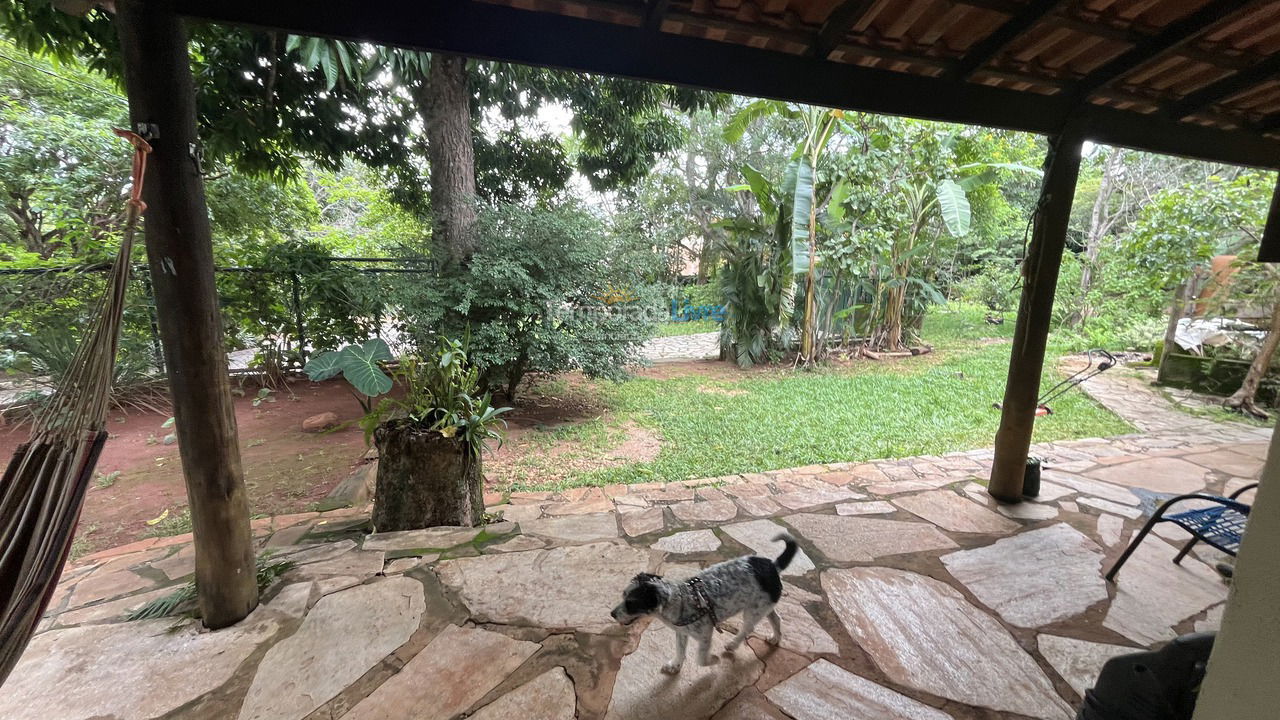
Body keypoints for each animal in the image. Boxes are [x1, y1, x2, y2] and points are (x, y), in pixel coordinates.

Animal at [611, 530, 798, 671]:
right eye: (623, 596)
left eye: (631, 603)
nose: (612, 614)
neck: (682, 601)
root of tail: (773, 566)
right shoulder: (681, 633)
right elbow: (680, 651)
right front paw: (675, 666)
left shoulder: (705, 635)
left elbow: (700, 659)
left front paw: (713, 659)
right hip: (764, 605)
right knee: (776, 619)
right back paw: (775, 638)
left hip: (753, 611)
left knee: (748, 628)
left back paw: (732, 644)